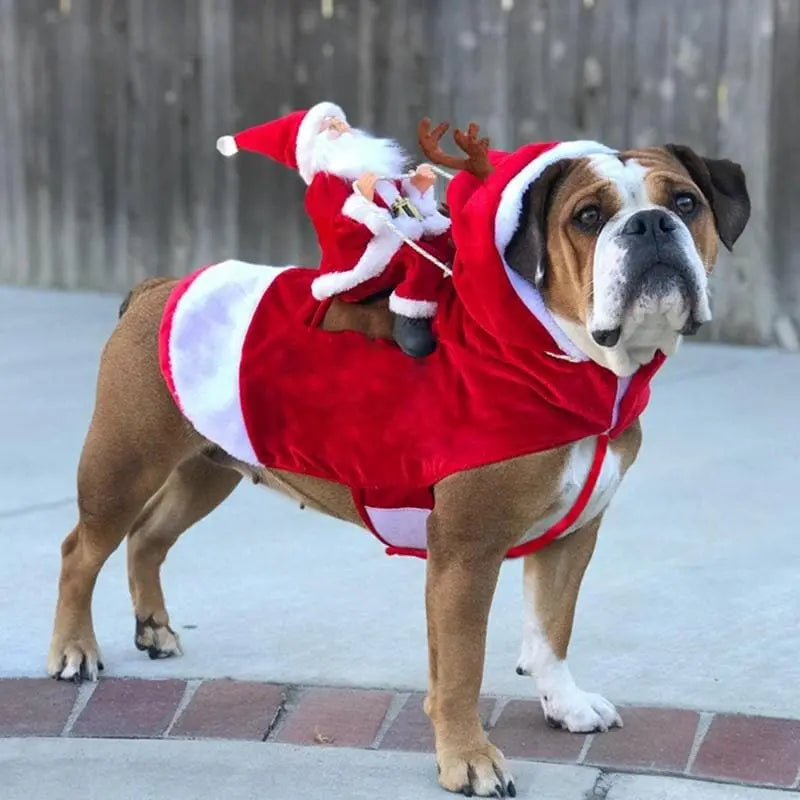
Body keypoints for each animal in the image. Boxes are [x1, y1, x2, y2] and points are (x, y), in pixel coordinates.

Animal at [48, 128, 752, 796]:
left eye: (685, 203)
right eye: (587, 216)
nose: (650, 225)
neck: (562, 356)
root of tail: (158, 288)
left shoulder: (573, 537)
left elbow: (553, 627)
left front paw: (566, 705)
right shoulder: (466, 555)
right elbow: (463, 667)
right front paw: (470, 761)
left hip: (207, 467)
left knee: (149, 537)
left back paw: (154, 629)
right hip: (123, 465)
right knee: (82, 550)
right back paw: (74, 651)